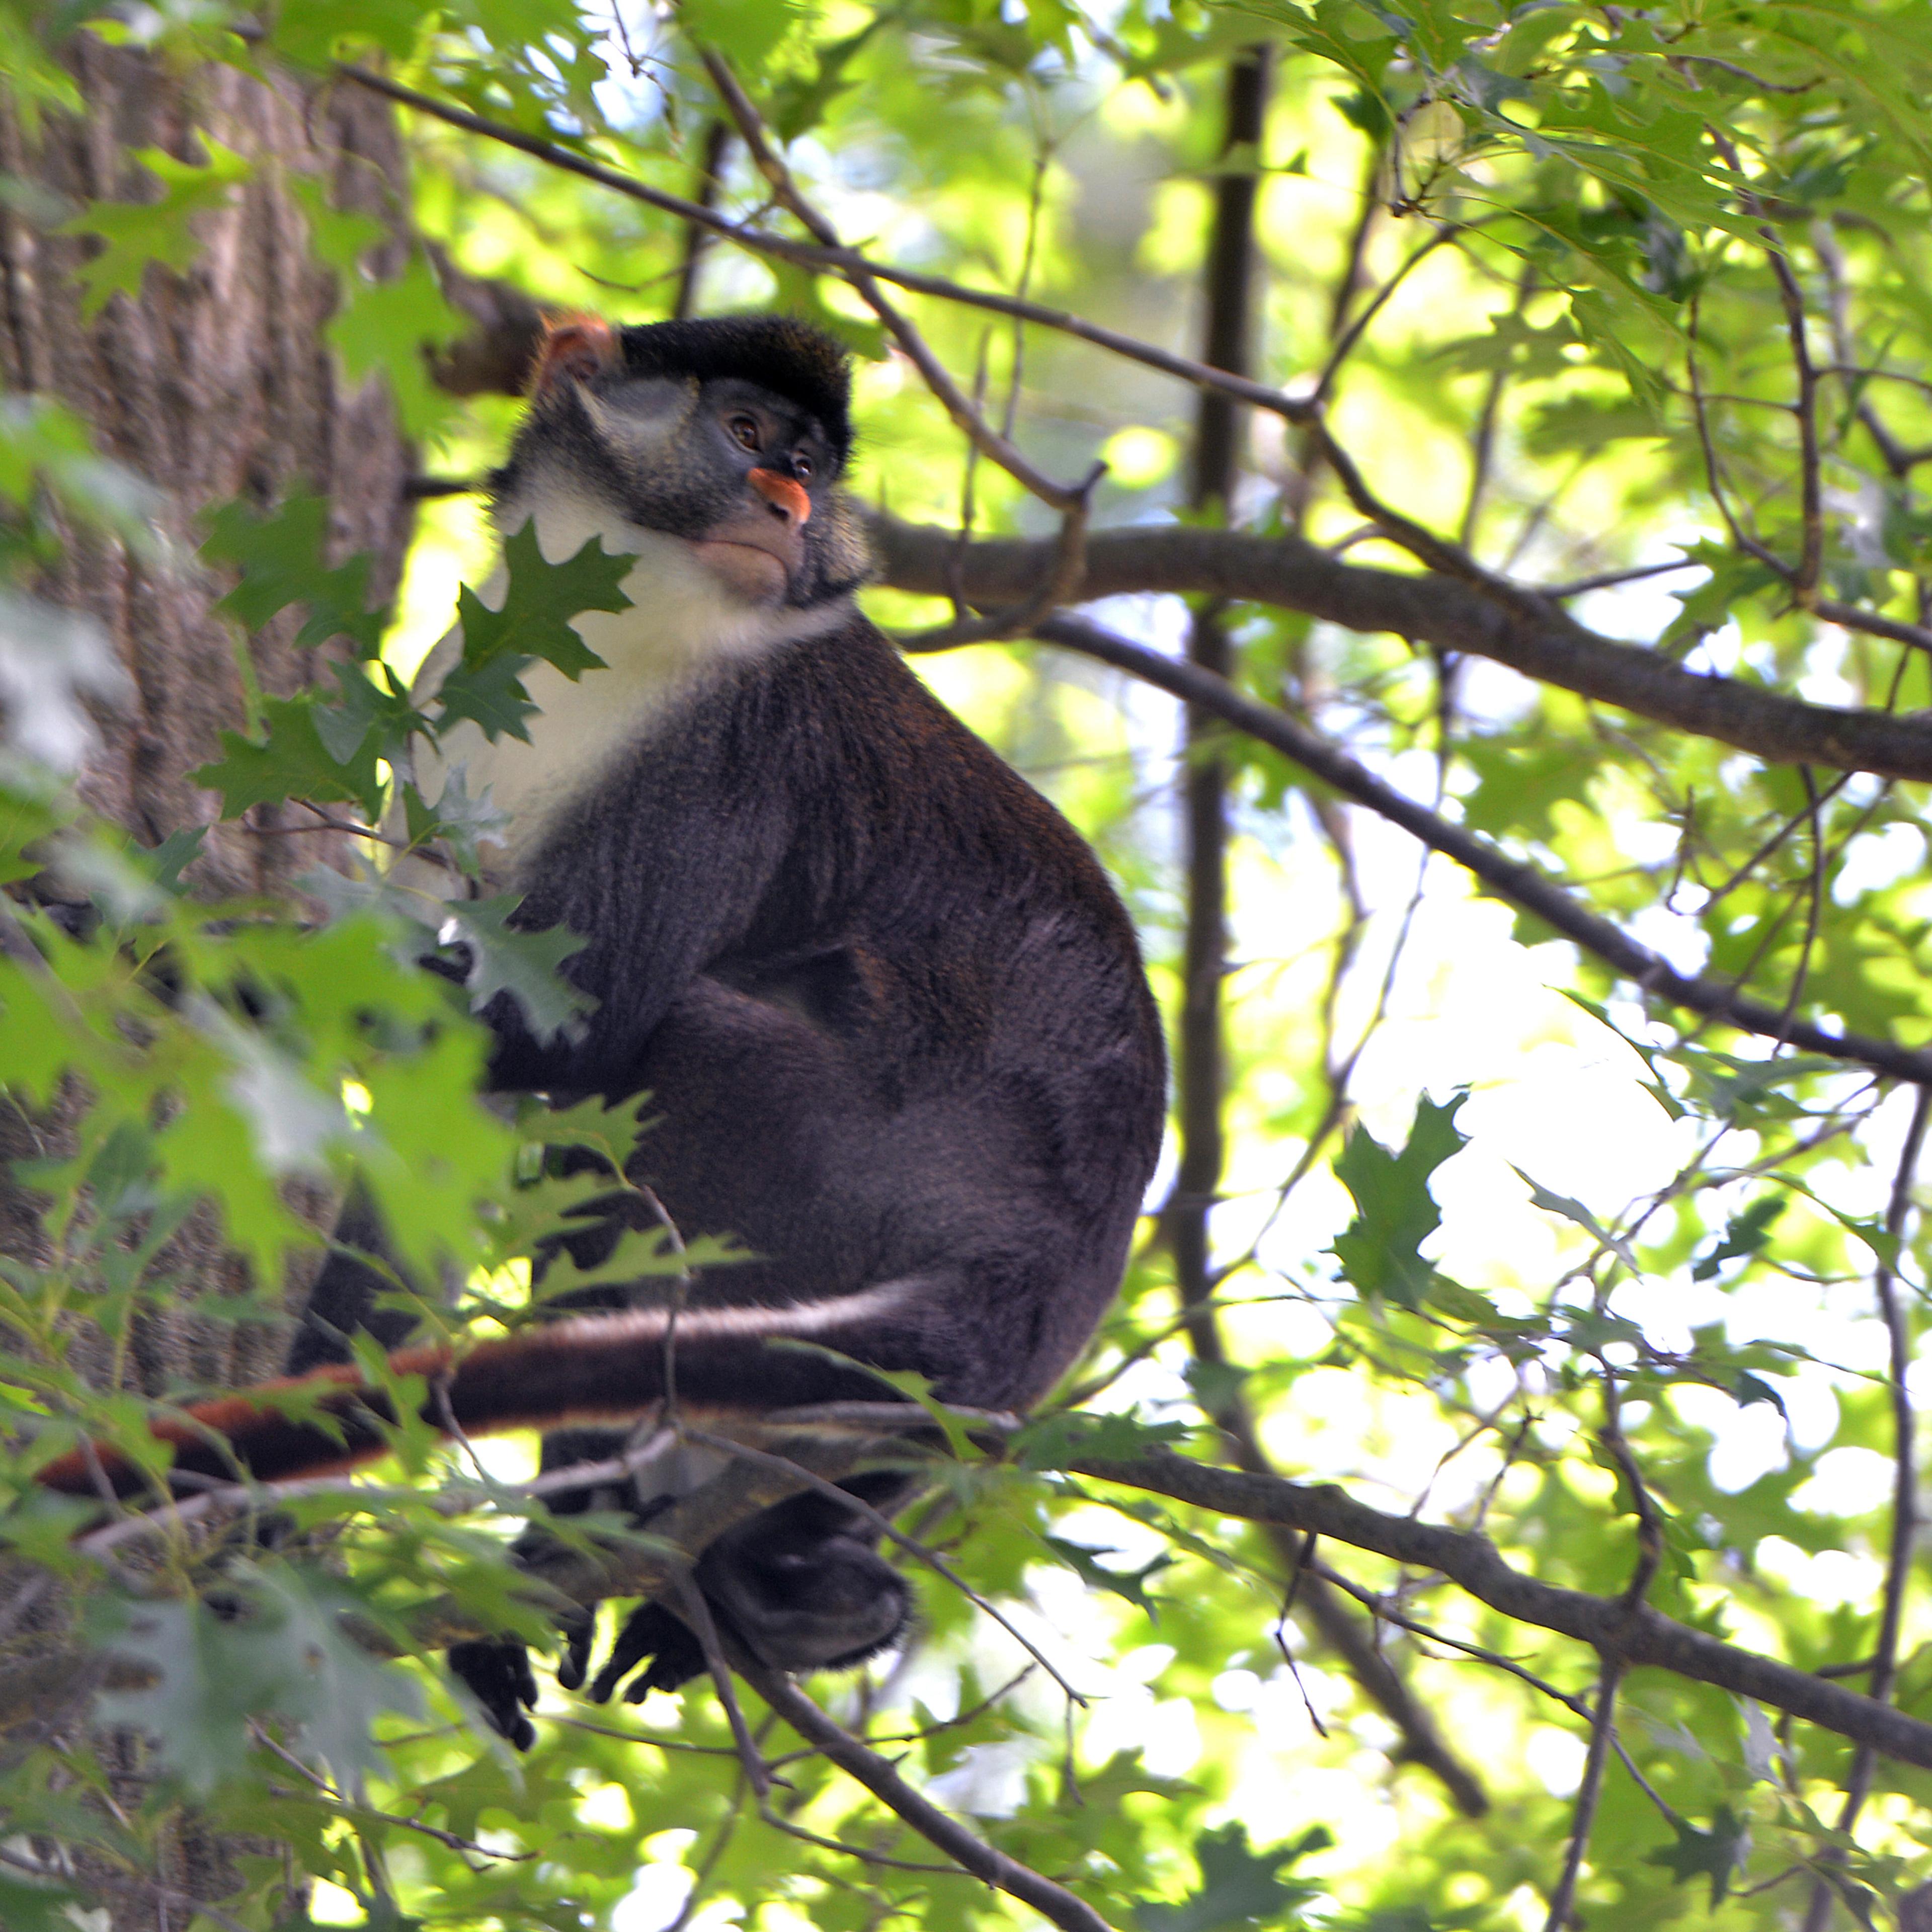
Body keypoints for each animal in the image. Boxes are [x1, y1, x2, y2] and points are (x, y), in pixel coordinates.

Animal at [40, 313, 1167, 1745]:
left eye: (811, 465)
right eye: (746, 435)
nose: (788, 506)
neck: (620, 634)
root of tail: (1034, 1278)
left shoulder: (732, 750)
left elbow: (579, 1033)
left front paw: (98, 924)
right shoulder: (446, 745)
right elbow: (441, 1118)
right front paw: (264, 1521)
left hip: (824, 1161)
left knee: (670, 1051)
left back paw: (604, 1541)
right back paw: (762, 1568)